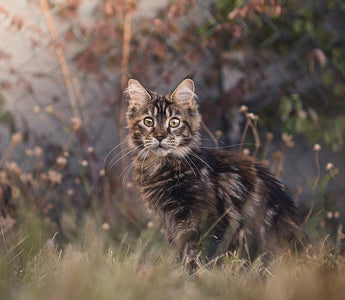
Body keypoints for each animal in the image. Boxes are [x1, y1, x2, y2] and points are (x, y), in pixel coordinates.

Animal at [125, 77, 306, 270]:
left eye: (174, 122)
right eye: (148, 122)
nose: (160, 137)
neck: (161, 167)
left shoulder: (206, 220)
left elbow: (199, 255)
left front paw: (194, 274)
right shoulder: (171, 223)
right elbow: (183, 253)